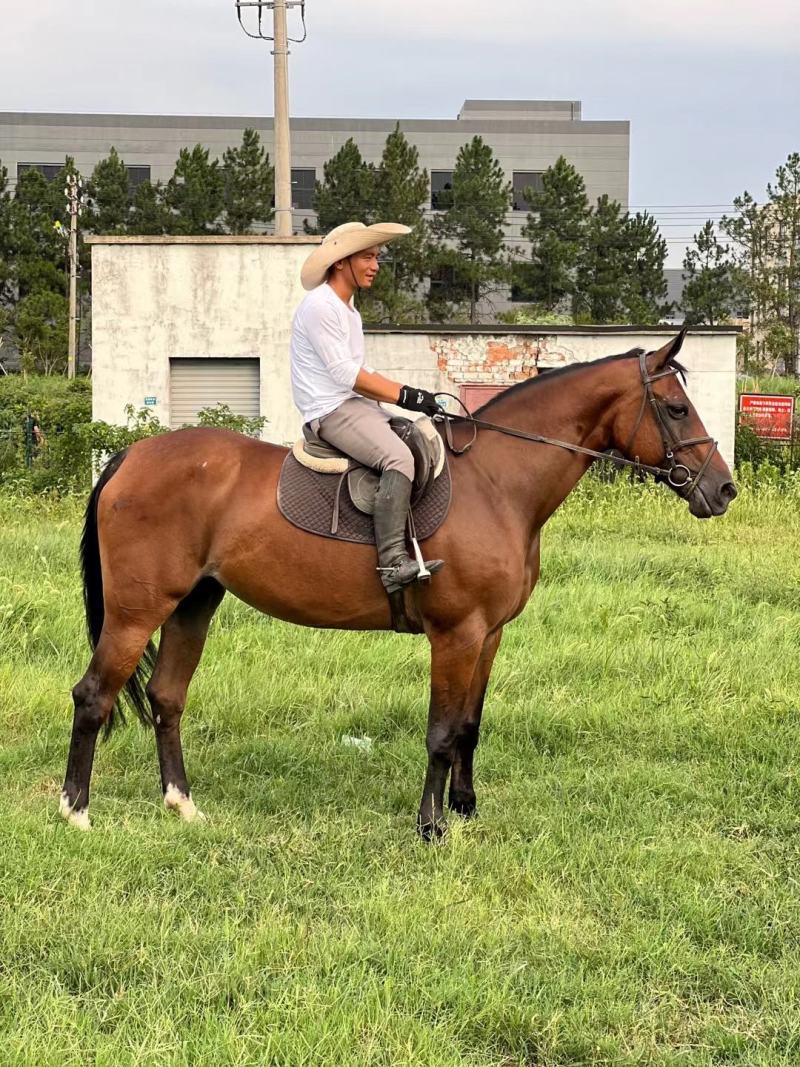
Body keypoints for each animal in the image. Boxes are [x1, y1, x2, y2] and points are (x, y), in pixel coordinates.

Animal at [60, 332, 736, 838]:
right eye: (677, 408)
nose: (723, 488)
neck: (496, 483)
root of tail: (132, 456)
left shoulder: (488, 635)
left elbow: (469, 726)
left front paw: (465, 808)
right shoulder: (456, 635)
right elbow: (441, 732)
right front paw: (431, 826)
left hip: (193, 604)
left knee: (167, 697)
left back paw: (181, 805)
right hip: (136, 612)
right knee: (93, 695)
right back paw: (76, 811)